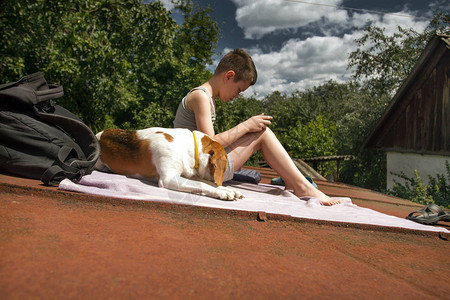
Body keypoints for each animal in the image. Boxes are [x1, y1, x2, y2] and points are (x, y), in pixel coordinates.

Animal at [93, 126, 244, 199]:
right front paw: (223, 193)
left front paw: (227, 189)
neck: (187, 146)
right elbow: (202, 184)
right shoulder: (169, 178)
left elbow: (208, 183)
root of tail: (97, 136)